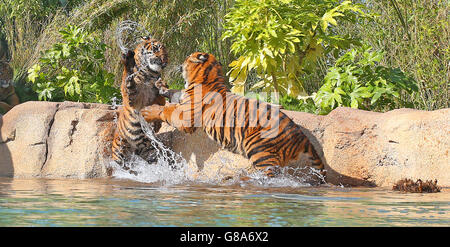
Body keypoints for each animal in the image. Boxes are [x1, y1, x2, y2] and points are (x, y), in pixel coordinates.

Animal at [110, 36, 169, 174]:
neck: (150, 74)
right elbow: (127, 78)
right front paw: (128, 60)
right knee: (123, 165)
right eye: (156, 48)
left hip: (149, 150)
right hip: (119, 151)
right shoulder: (133, 98)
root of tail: (135, 149)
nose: (165, 60)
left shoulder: (156, 98)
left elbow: (160, 99)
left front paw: (162, 86)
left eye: (166, 52)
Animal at [142, 51, 326, 179]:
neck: (206, 78)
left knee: (269, 175)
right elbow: (174, 93)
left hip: (259, 148)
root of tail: (300, 135)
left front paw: (148, 111)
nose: (177, 63)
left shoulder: (185, 116)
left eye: (188, 57)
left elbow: (166, 110)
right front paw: (161, 86)